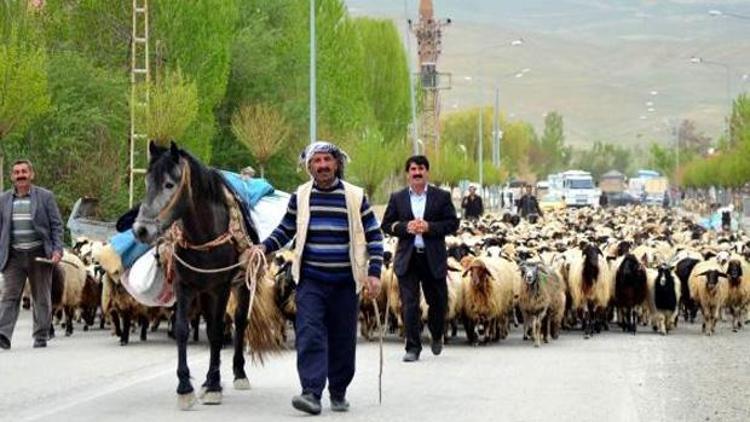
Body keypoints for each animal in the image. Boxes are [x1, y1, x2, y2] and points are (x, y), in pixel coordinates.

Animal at [132, 141, 264, 408]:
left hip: (241, 284)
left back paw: (238, 374)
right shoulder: (185, 286)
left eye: (169, 184)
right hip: (203, 292)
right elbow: (182, 329)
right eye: (146, 181)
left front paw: (214, 385)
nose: (141, 230)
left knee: (239, 321)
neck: (205, 235)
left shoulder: (221, 287)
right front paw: (185, 387)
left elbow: (216, 331)